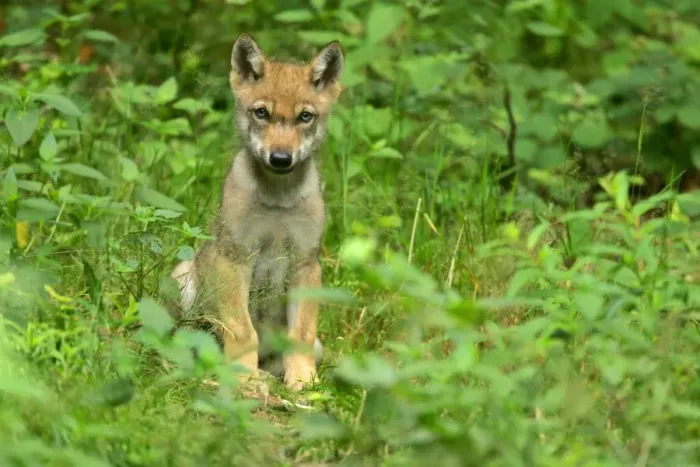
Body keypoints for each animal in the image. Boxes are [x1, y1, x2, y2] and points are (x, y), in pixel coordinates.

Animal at [169, 33, 344, 391]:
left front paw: (303, 381)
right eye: (261, 113)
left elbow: (301, 333)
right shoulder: (234, 258)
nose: (280, 158)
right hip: (183, 276)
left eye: (305, 117)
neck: (277, 201)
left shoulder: (306, 264)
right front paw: (243, 377)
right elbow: (242, 331)